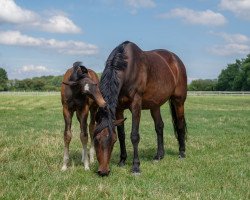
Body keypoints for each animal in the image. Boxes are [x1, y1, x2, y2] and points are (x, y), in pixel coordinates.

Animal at [94, 41, 188, 176]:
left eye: (112, 141)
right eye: (95, 140)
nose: (103, 171)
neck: (127, 68)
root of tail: (176, 60)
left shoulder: (136, 105)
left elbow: (134, 136)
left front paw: (136, 167)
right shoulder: (119, 109)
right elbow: (122, 134)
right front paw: (122, 161)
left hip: (178, 101)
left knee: (180, 125)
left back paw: (182, 153)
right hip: (155, 105)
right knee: (159, 126)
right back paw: (159, 155)